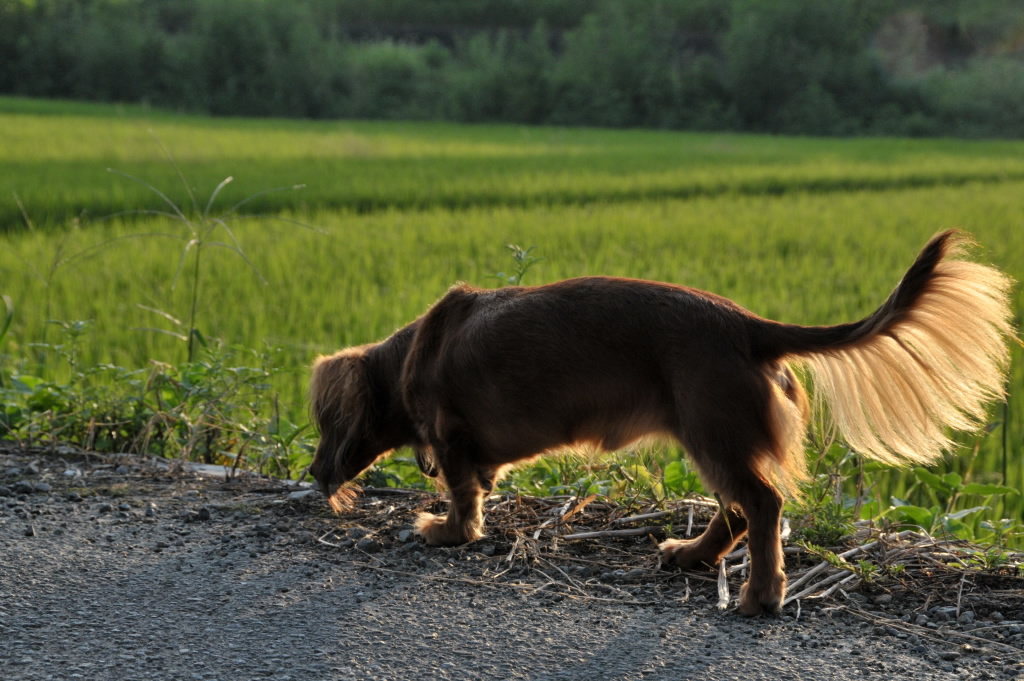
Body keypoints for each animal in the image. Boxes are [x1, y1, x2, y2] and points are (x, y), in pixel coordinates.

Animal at [309, 231, 1015, 614]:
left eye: (322, 425)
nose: (315, 474)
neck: (412, 355)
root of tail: (747, 326)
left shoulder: (453, 438)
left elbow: (462, 497)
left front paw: (447, 532)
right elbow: (478, 484)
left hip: (711, 429)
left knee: (762, 504)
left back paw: (761, 594)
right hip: (708, 434)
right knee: (737, 508)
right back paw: (695, 555)